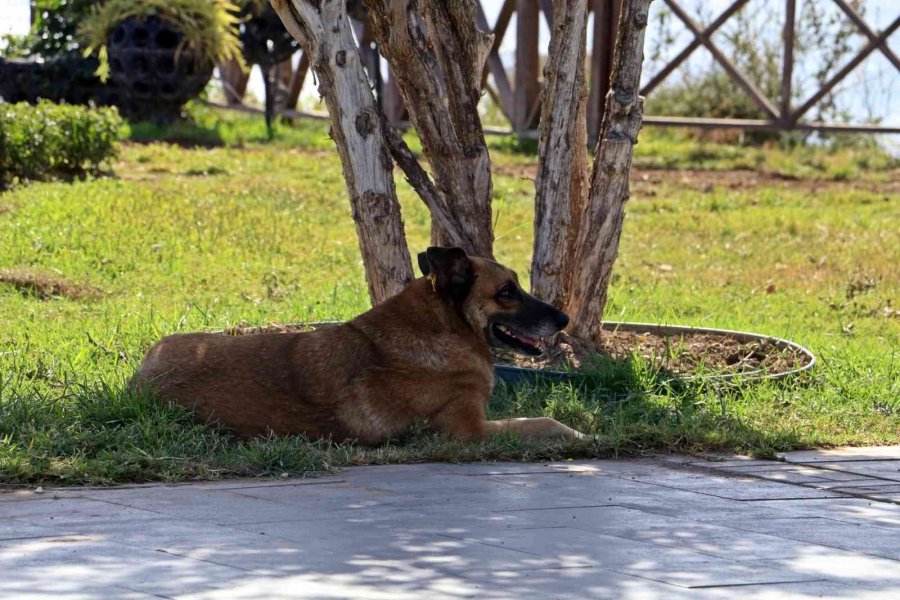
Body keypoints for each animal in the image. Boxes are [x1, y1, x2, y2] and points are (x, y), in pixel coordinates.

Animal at [130, 246, 588, 442]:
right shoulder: (466, 429)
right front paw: (583, 435)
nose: (565, 319)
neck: (442, 328)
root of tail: (139, 379)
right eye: (507, 292)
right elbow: (543, 421)